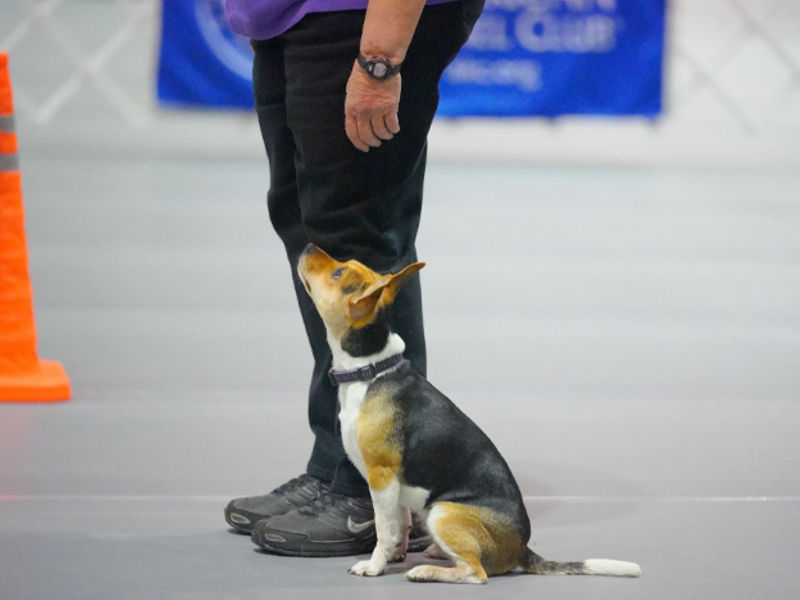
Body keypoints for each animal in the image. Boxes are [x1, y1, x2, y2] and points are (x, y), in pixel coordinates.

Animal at [296, 243, 640, 580]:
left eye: (339, 272)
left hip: (442, 512)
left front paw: (375, 565)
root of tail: (522, 549)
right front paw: (395, 555)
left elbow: (384, 530)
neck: (372, 370)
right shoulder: (394, 486)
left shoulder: (381, 478)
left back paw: (428, 570)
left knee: (475, 572)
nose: (309, 245)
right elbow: (400, 525)